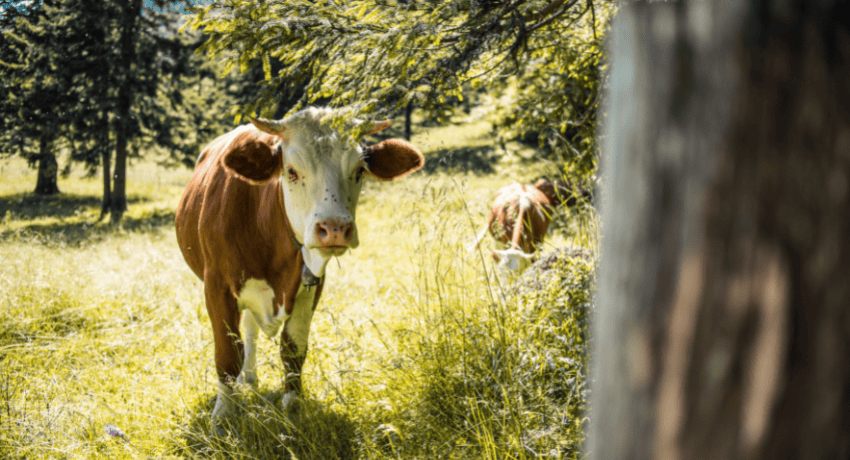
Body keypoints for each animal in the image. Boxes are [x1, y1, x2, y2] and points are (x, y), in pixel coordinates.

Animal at [175, 107, 423, 425]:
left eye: (359, 170)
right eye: (291, 171)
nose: (334, 228)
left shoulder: (310, 286)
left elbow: (293, 349)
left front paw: (293, 408)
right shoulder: (216, 288)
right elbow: (228, 354)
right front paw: (223, 417)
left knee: (252, 327)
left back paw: (250, 379)